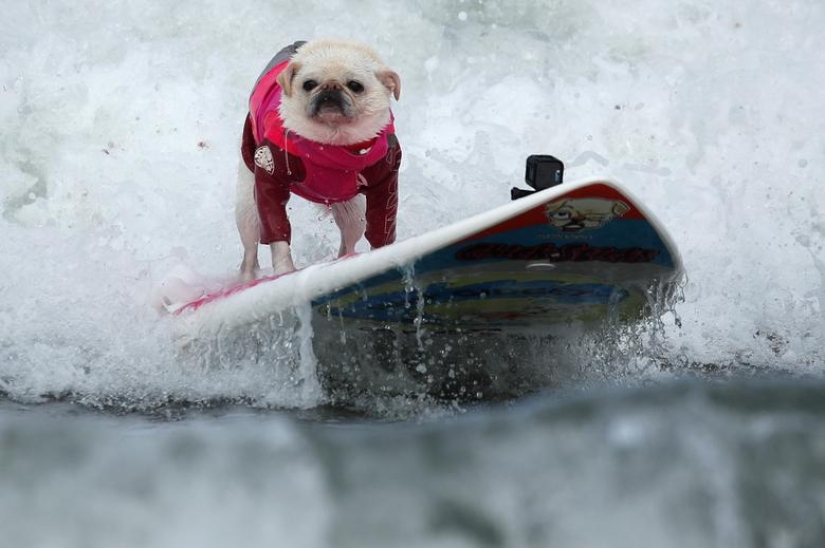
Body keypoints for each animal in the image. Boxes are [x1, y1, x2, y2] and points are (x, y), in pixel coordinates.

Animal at [235, 38, 402, 280]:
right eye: (309, 84)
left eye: (355, 86)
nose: (331, 87)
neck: (331, 143)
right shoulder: (270, 171)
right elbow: (277, 232)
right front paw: (285, 271)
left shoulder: (385, 179)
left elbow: (382, 222)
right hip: (247, 207)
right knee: (250, 248)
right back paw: (247, 279)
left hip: (353, 212)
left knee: (349, 239)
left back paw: (344, 260)